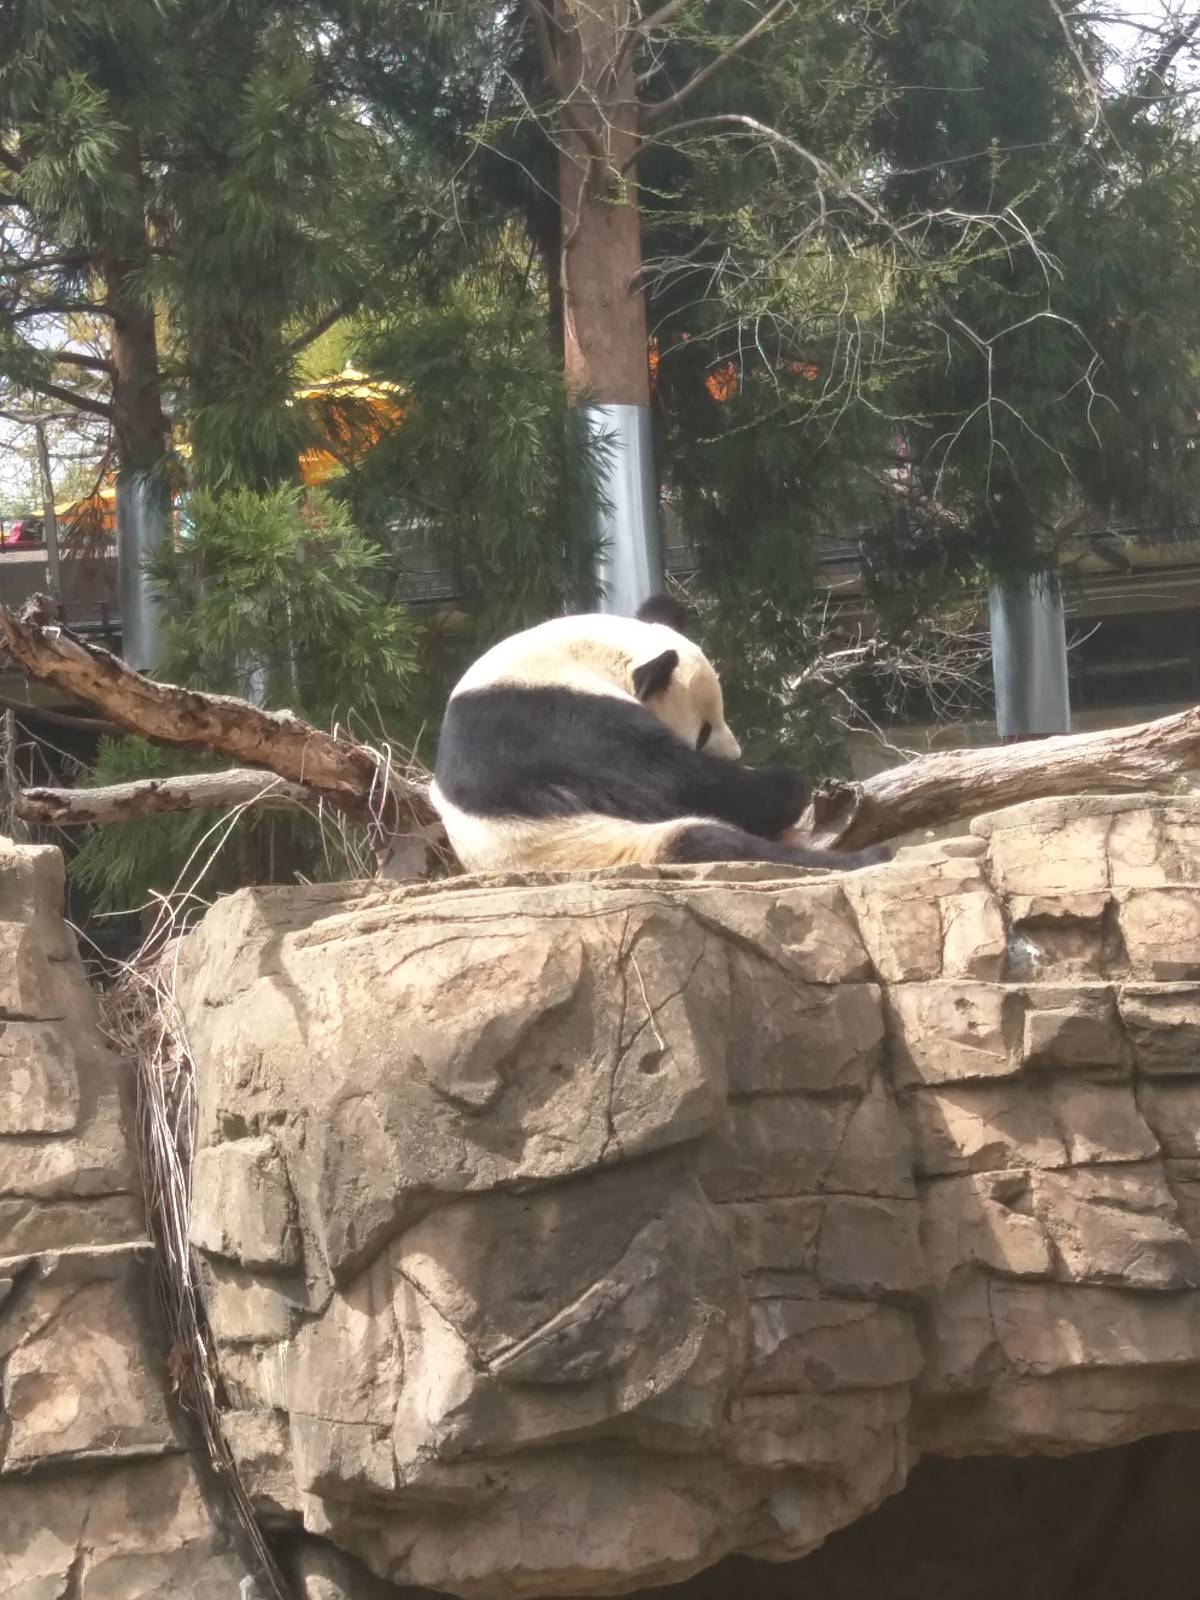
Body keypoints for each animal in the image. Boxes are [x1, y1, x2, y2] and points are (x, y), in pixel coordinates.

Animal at [429, 596, 891, 875]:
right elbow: (667, 783)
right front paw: (786, 783)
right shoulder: (556, 721)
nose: (735, 754)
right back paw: (867, 856)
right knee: (710, 843)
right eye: (704, 729)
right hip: (590, 843)